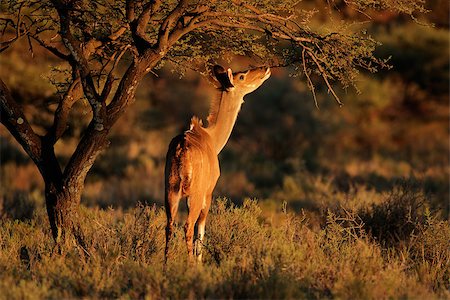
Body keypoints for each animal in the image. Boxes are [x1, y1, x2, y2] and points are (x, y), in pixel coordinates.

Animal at [165, 64, 270, 262]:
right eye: (242, 76)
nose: (266, 68)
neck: (211, 138)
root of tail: (182, 148)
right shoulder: (209, 194)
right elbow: (200, 230)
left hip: (170, 192)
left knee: (170, 225)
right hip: (195, 196)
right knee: (188, 226)